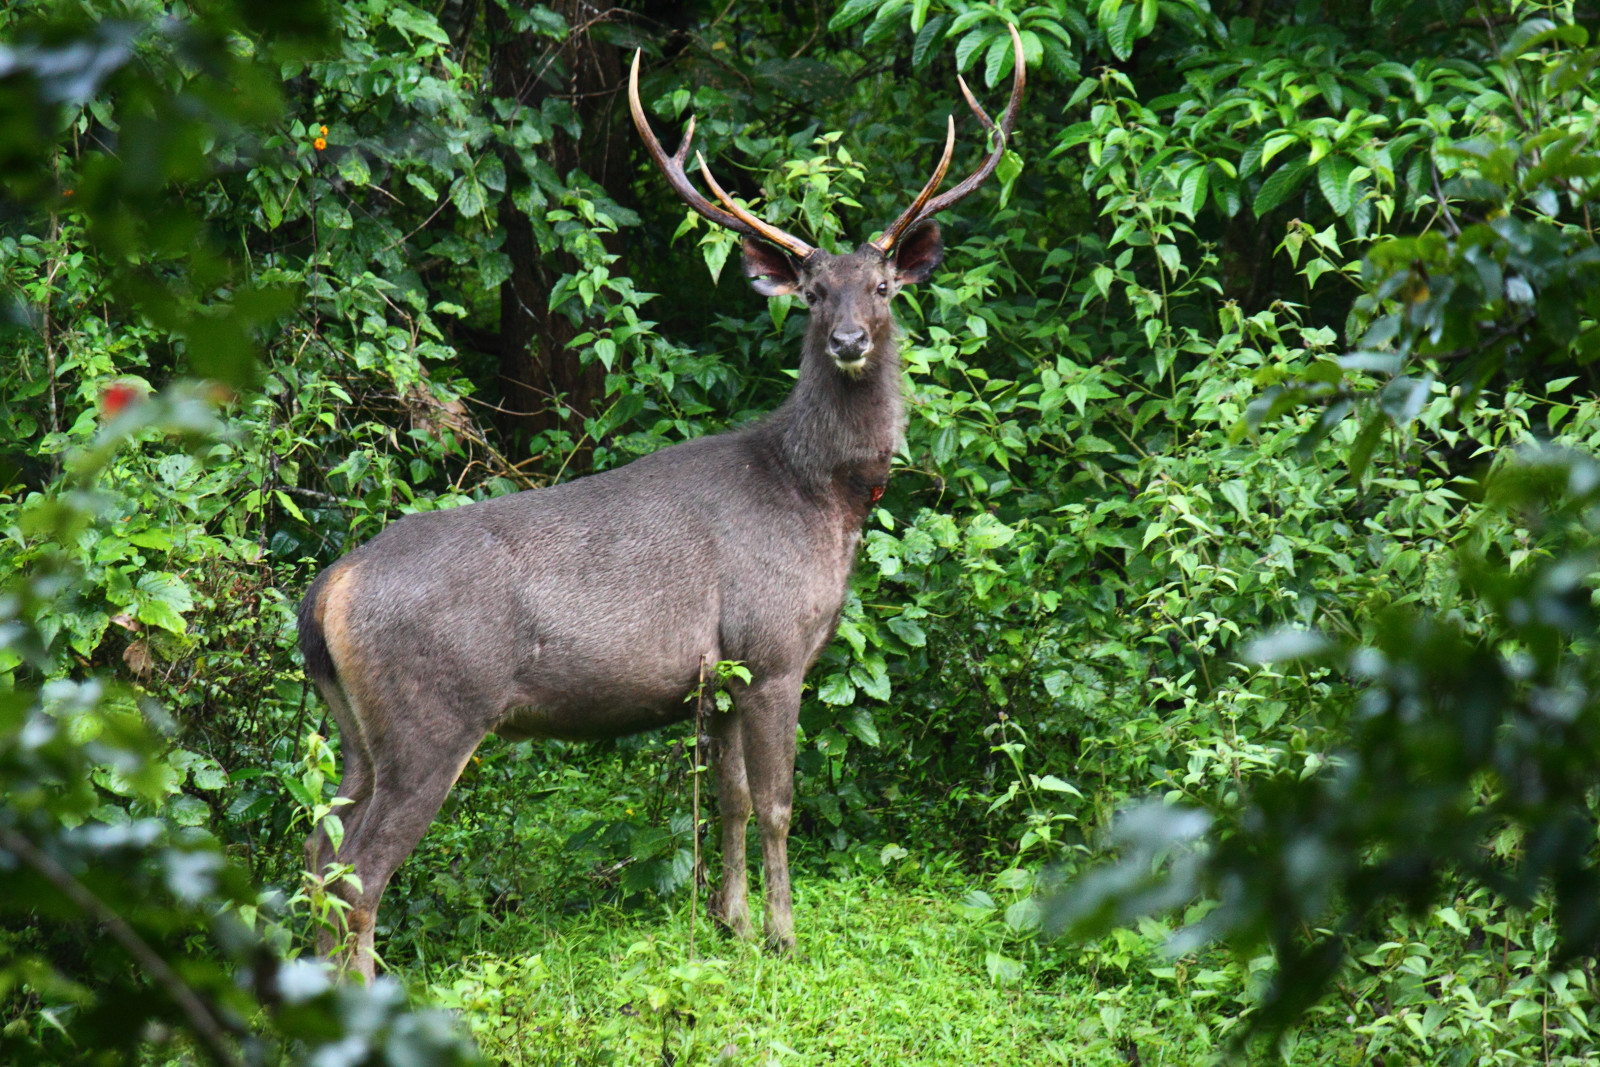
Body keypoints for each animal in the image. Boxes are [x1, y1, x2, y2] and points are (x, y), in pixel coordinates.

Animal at [296, 28, 1024, 980]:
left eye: (883, 287)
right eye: (814, 292)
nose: (848, 341)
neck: (819, 496)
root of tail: (325, 594)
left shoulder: (719, 675)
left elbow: (733, 801)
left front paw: (732, 924)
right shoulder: (773, 647)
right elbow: (781, 804)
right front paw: (785, 936)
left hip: (351, 726)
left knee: (317, 854)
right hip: (432, 712)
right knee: (359, 872)